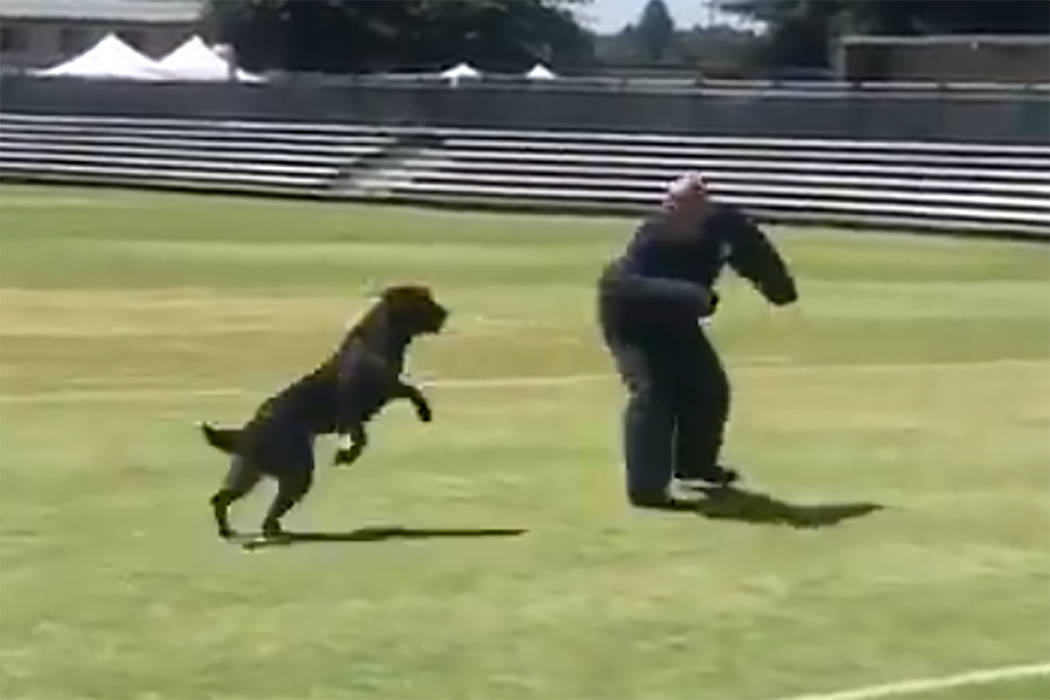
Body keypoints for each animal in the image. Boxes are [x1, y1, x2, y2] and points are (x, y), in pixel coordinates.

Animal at [199, 285, 447, 541]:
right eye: (422, 301)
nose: (445, 313)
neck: (378, 339)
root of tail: (248, 430)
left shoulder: (387, 389)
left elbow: (411, 391)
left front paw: (424, 412)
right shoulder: (355, 404)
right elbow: (362, 434)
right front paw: (346, 454)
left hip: (251, 470)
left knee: (224, 497)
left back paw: (239, 530)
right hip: (295, 470)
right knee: (254, 503)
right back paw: (261, 532)